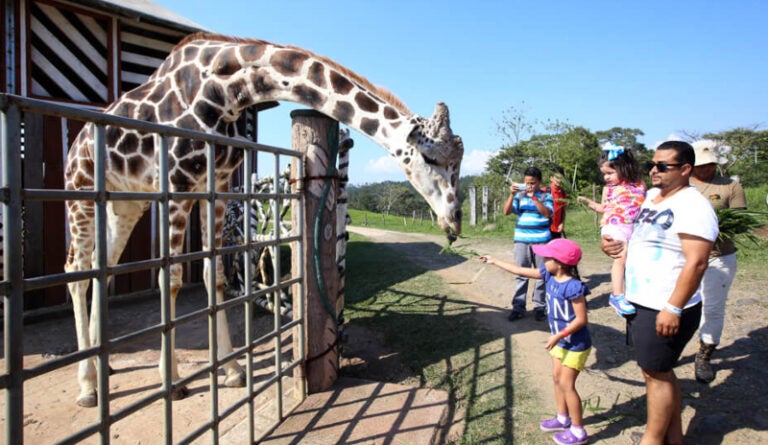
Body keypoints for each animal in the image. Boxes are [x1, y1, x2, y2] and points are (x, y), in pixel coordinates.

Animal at [64, 31, 462, 406]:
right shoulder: (177, 182)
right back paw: (87, 386)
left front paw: (233, 370)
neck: (223, 92)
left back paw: (103, 366)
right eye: (430, 158)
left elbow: (215, 274)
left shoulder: (217, 184)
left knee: (103, 267)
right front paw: (173, 383)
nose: (455, 220)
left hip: (126, 203)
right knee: (76, 270)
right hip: (81, 194)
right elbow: (172, 278)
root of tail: (75, 147)